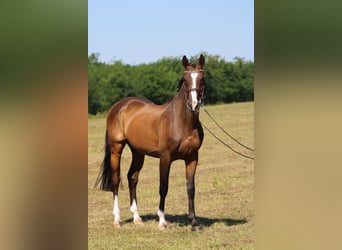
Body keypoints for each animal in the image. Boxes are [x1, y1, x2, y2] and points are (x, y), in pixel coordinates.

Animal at [94, 54, 206, 230]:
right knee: (116, 180)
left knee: (132, 177)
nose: (193, 104)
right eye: (185, 80)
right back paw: (117, 219)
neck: (181, 123)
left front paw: (194, 222)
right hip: (116, 148)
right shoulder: (165, 158)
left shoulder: (192, 158)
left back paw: (137, 217)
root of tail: (118, 106)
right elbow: (163, 187)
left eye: (202, 79)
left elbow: (190, 188)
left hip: (138, 152)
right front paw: (162, 222)